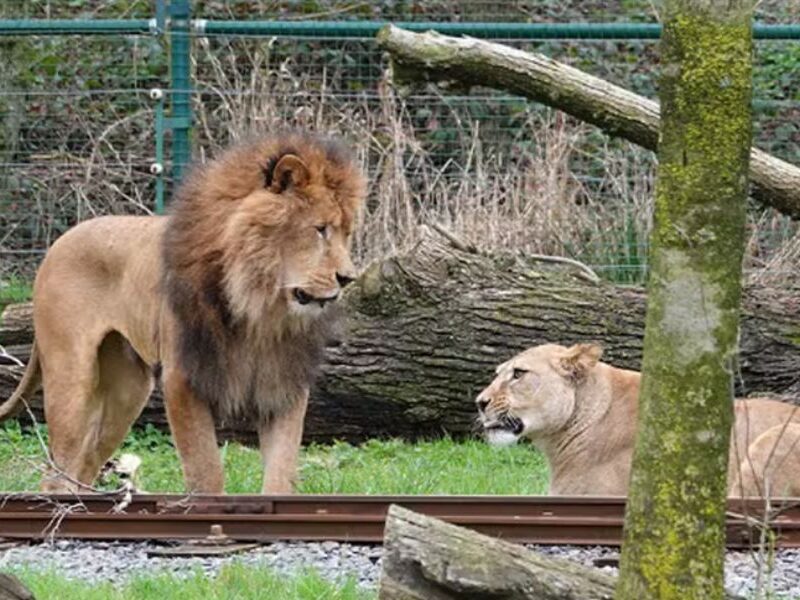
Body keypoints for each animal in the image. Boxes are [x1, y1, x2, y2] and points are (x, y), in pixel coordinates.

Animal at [0, 129, 366, 494]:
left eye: (347, 232)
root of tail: (56, 244)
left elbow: (282, 472)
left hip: (127, 391)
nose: (348, 277)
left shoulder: (283, 384)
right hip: (71, 379)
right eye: (320, 229)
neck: (259, 308)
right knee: (58, 470)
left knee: (85, 465)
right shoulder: (183, 377)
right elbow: (206, 470)